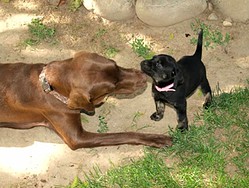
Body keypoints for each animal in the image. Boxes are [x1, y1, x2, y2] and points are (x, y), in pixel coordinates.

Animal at [0, 51, 172, 150]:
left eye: (116, 64)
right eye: (113, 85)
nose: (143, 75)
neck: (50, 86)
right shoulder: (78, 138)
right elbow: (122, 134)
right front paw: (155, 138)